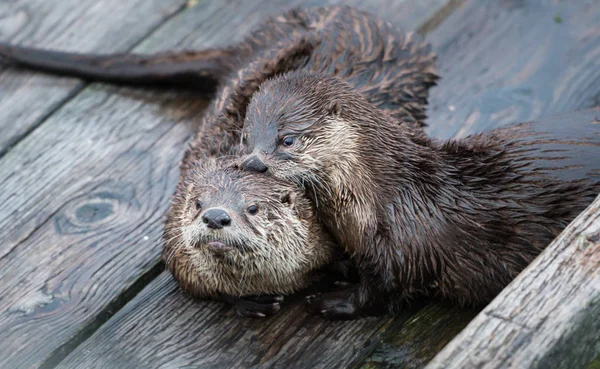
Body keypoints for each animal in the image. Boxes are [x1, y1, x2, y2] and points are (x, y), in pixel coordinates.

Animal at [240, 71, 600, 320]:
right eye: (245, 137)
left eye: (287, 139)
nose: (253, 163)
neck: (386, 193)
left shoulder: (401, 249)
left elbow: (383, 291)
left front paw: (329, 302)